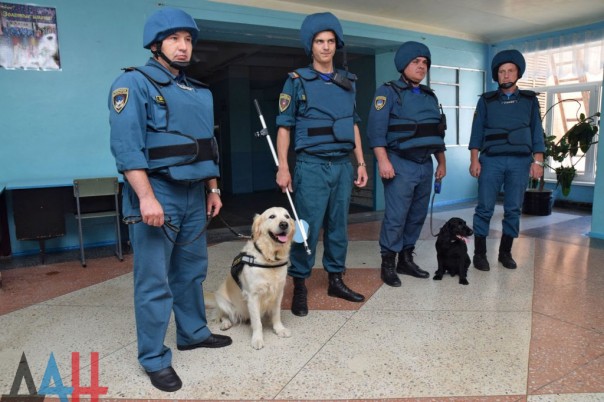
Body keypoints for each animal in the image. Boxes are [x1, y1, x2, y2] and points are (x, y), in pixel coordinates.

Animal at [210, 207, 295, 349]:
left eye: (287, 216)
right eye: (272, 216)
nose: (284, 224)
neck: (269, 258)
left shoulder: (278, 292)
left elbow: (276, 314)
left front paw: (279, 329)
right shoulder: (253, 296)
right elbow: (256, 322)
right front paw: (257, 339)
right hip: (221, 299)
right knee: (222, 315)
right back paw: (225, 323)